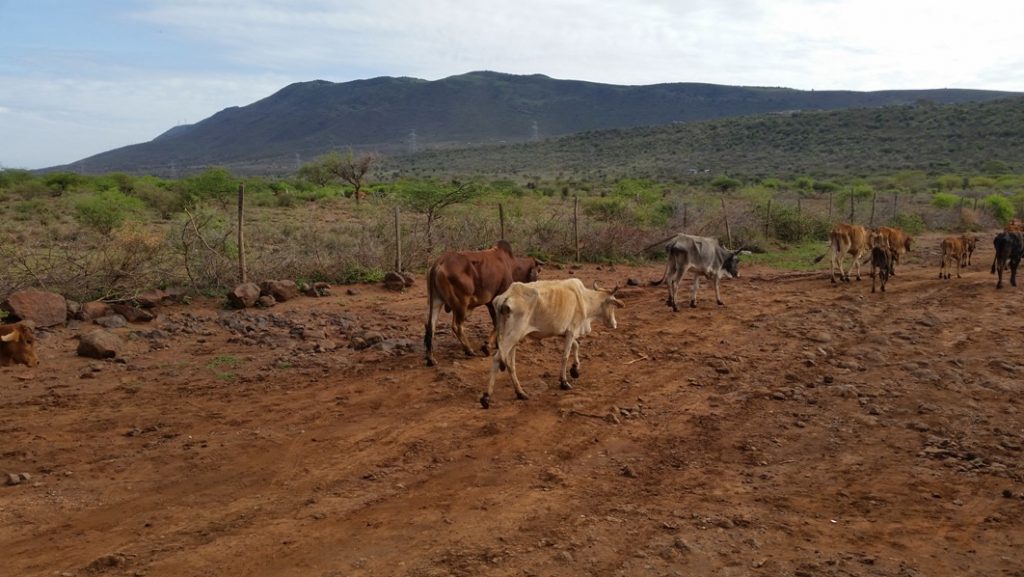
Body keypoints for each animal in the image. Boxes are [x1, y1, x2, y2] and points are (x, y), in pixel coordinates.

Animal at [481, 276, 622, 407]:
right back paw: (486, 397)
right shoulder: (571, 330)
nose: (614, 324)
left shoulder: (563, 332)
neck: (585, 299)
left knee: (510, 364)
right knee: (497, 359)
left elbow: (576, 346)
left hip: (512, 338)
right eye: (612, 304)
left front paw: (575, 369)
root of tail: (505, 298)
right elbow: (565, 356)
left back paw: (520, 393)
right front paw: (564, 382)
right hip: (512, 336)